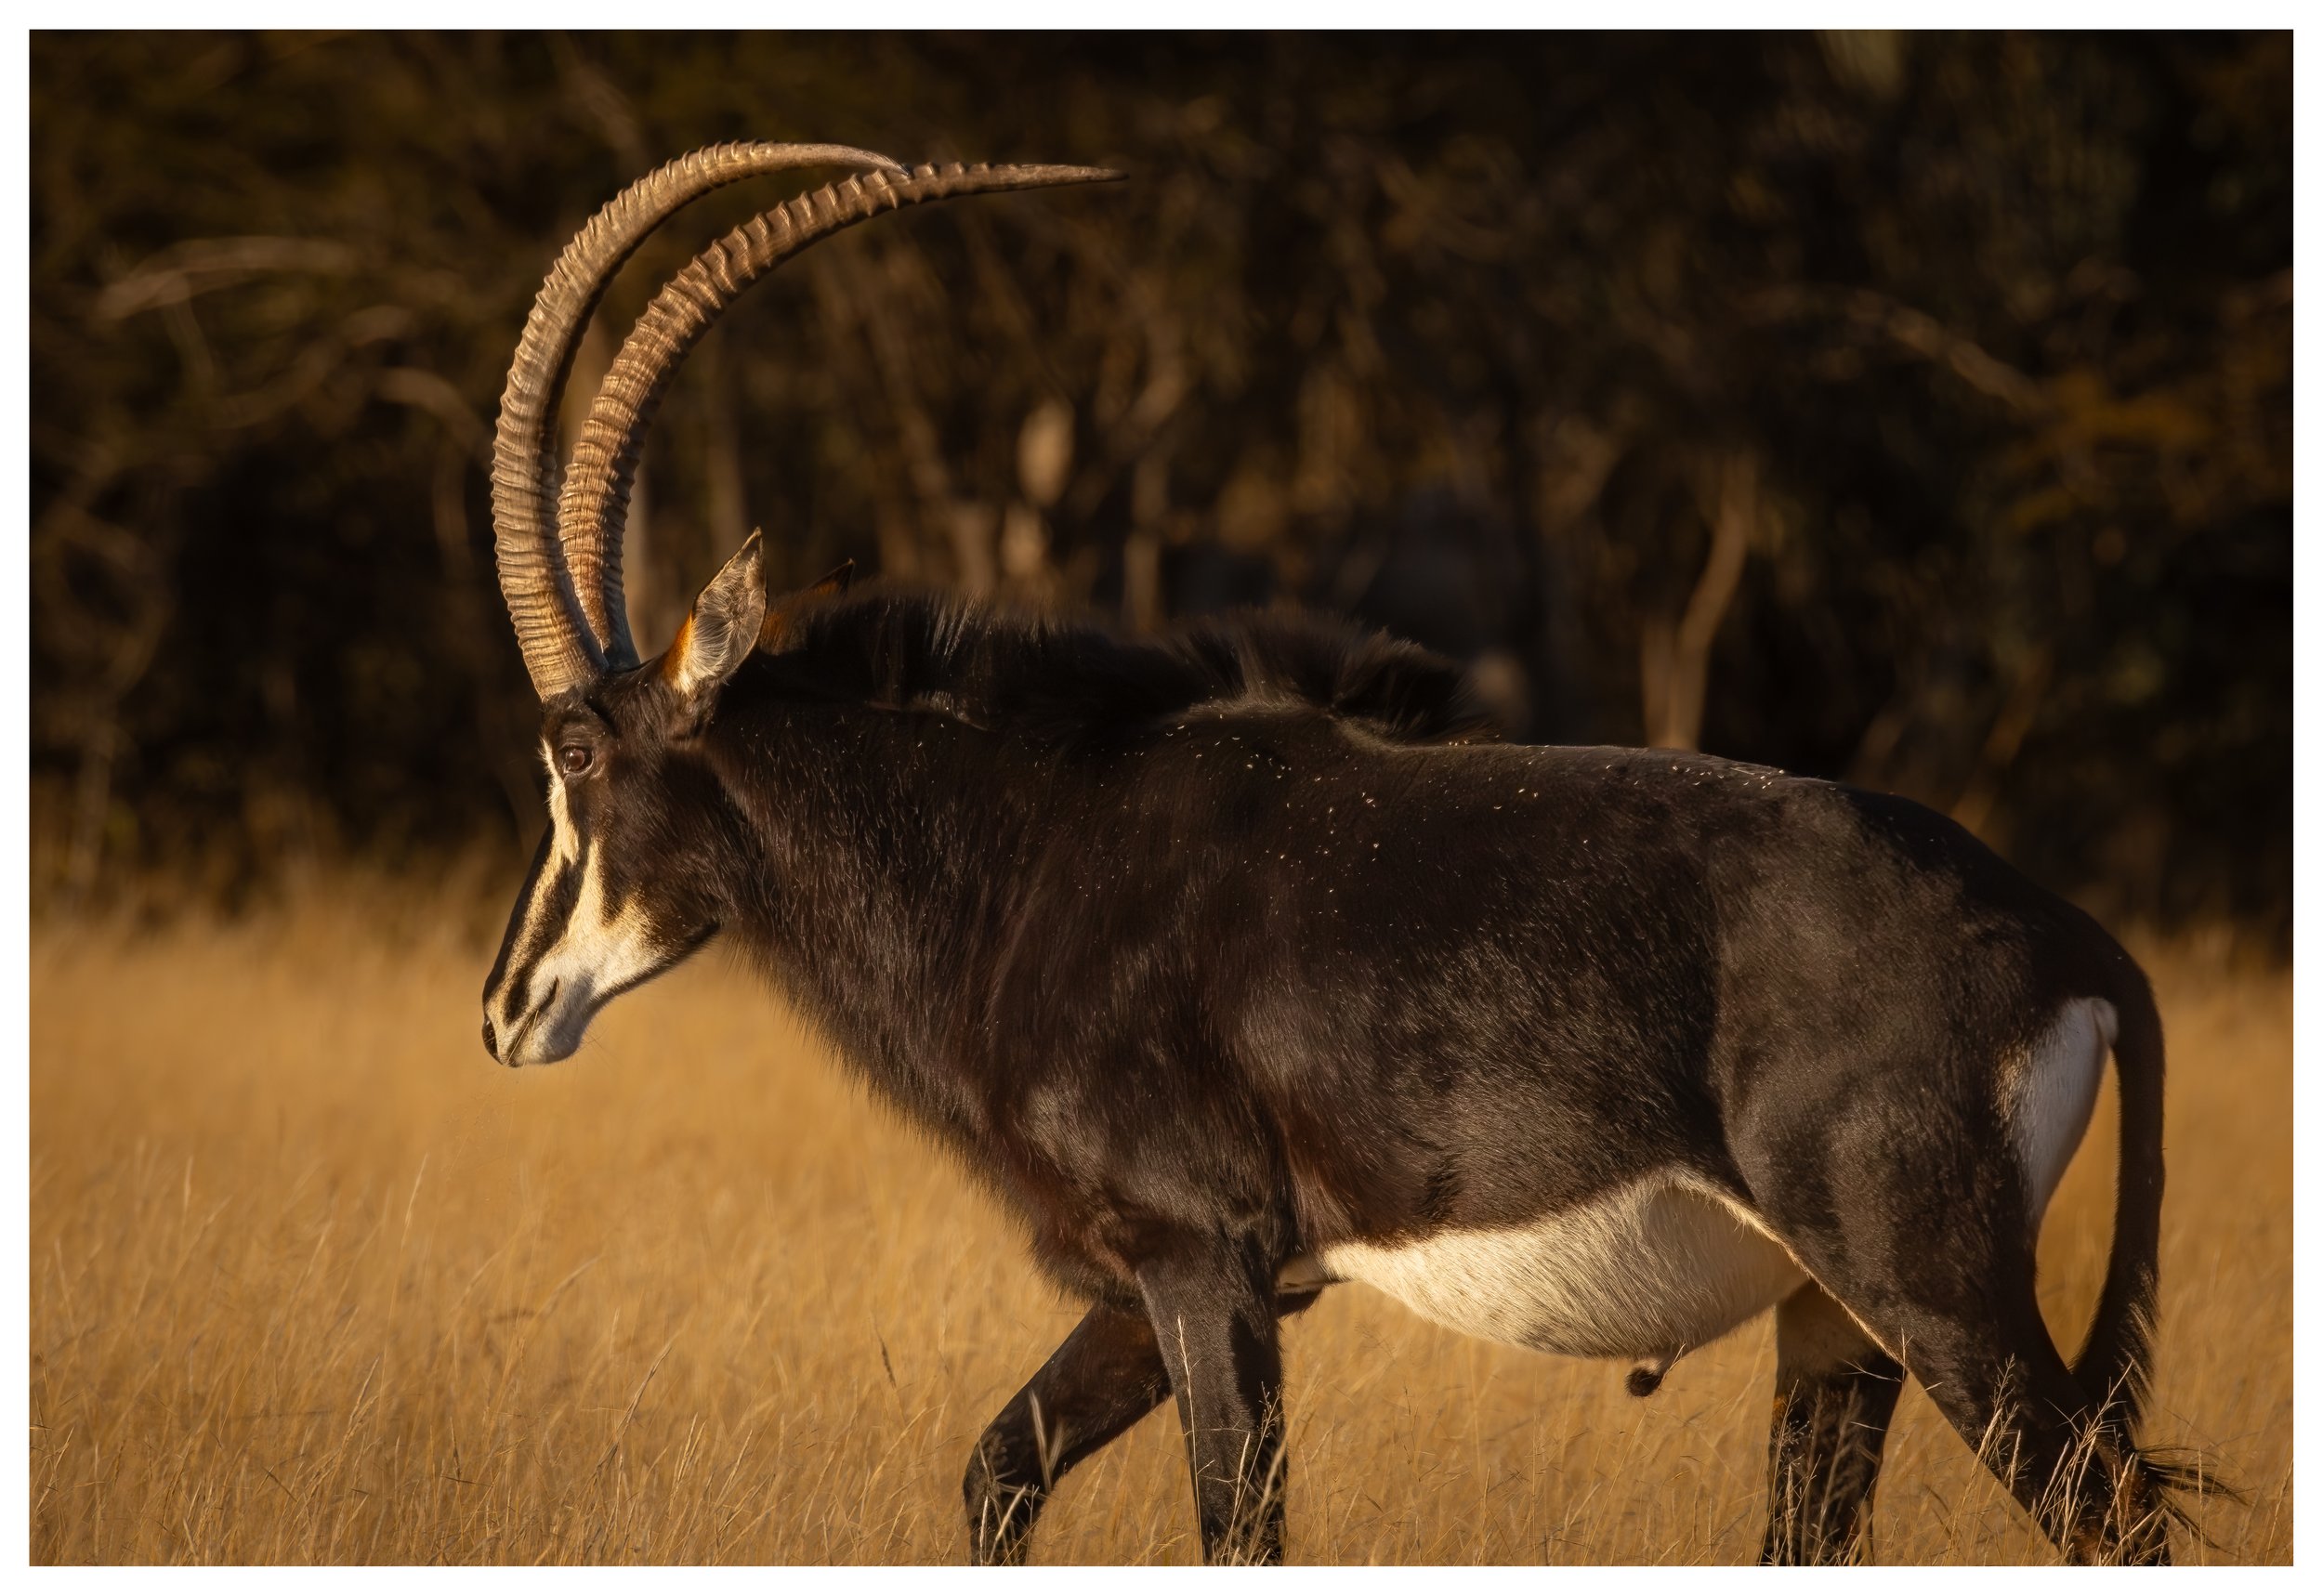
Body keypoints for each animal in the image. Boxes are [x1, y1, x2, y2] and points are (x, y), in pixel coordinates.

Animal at [479, 141, 2195, 1565]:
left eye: (577, 749)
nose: (507, 1008)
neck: (1029, 848)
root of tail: (2077, 945)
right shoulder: (1161, 1281)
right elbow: (995, 1468)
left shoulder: (1208, 1257)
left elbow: (1238, 1528)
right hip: (1832, 1328)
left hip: (1935, 1293)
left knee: (2112, 1518)